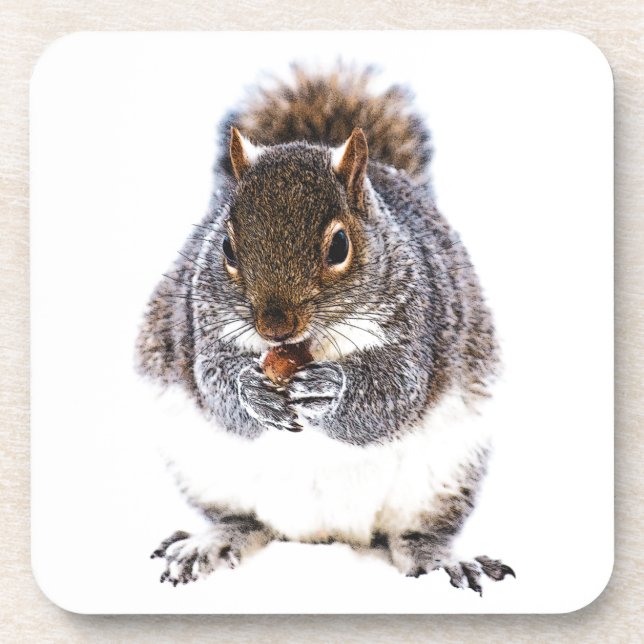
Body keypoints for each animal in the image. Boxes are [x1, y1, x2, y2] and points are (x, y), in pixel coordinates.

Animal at [137, 65, 514, 594]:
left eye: (339, 246)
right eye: (227, 247)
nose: (274, 327)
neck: (307, 346)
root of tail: (324, 534)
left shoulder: (419, 326)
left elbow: (394, 395)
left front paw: (330, 390)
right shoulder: (201, 326)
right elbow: (215, 386)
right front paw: (251, 390)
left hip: (444, 475)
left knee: (416, 533)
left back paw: (442, 561)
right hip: (204, 468)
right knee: (242, 520)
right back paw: (209, 543)